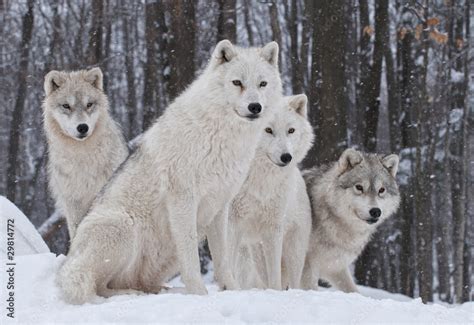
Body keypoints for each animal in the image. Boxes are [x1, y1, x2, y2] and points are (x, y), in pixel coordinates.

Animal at [57, 40, 284, 304]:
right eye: (237, 82)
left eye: (262, 84)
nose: (255, 107)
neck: (220, 135)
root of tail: (69, 260)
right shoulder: (183, 200)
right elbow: (192, 260)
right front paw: (199, 295)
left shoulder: (220, 205)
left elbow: (223, 259)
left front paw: (233, 290)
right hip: (123, 226)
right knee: (99, 286)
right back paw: (131, 295)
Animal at [231, 93, 314, 288]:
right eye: (268, 130)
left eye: (291, 130)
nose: (286, 157)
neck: (259, 180)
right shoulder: (232, 223)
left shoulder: (273, 228)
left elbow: (275, 277)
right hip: (251, 253)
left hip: (293, 252)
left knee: (292, 281)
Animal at [300, 148, 400, 292]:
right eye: (359, 187)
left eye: (381, 190)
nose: (375, 211)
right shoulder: (307, 265)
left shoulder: (335, 267)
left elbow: (353, 290)